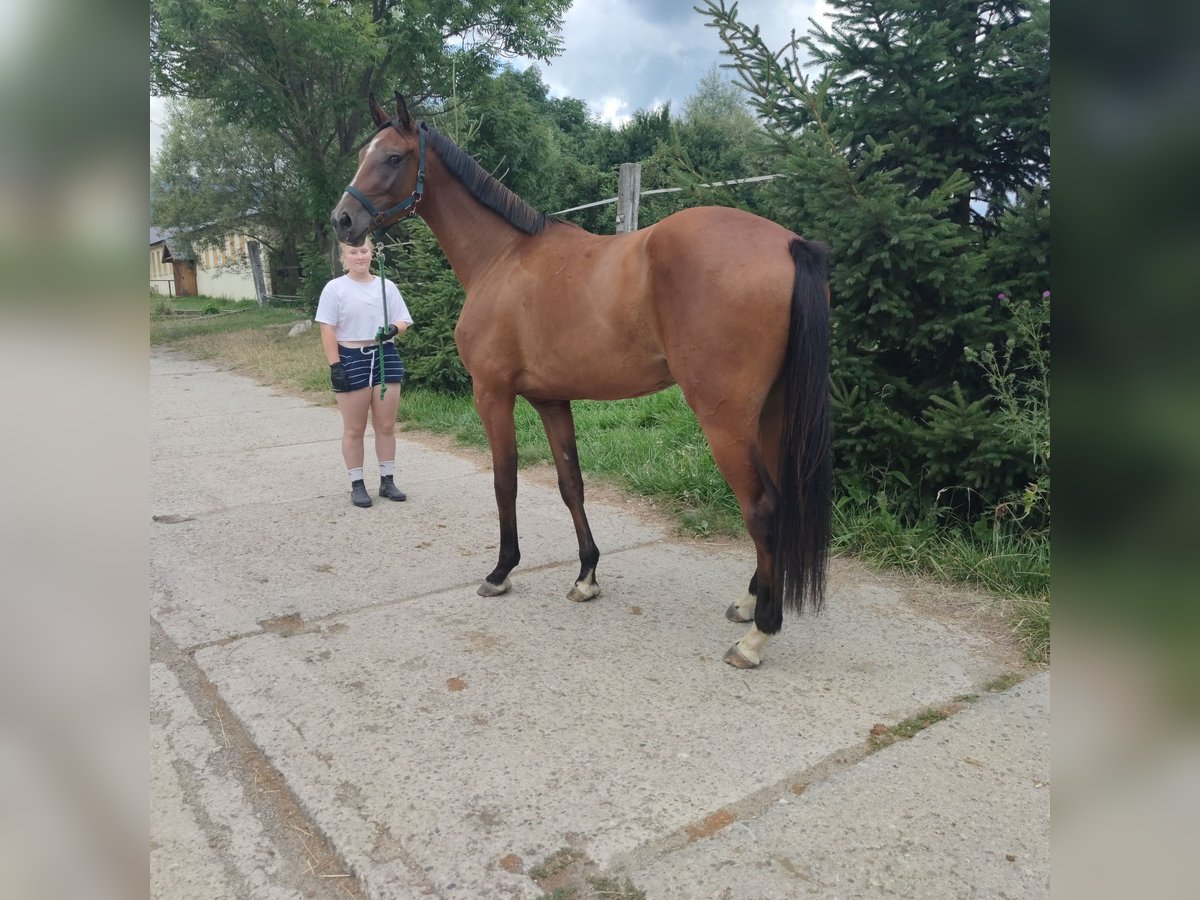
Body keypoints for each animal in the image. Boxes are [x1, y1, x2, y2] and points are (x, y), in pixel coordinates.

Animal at [333, 93, 830, 672]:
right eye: (364, 154)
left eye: (393, 157)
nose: (342, 220)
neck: (502, 258)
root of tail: (789, 243)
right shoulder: (552, 400)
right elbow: (571, 483)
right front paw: (587, 576)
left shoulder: (492, 395)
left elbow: (505, 481)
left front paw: (501, 571)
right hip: (772, 412)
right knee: (777, 502)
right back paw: (750, 602)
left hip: (726, 419)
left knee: (762, 509)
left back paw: (757, 635)